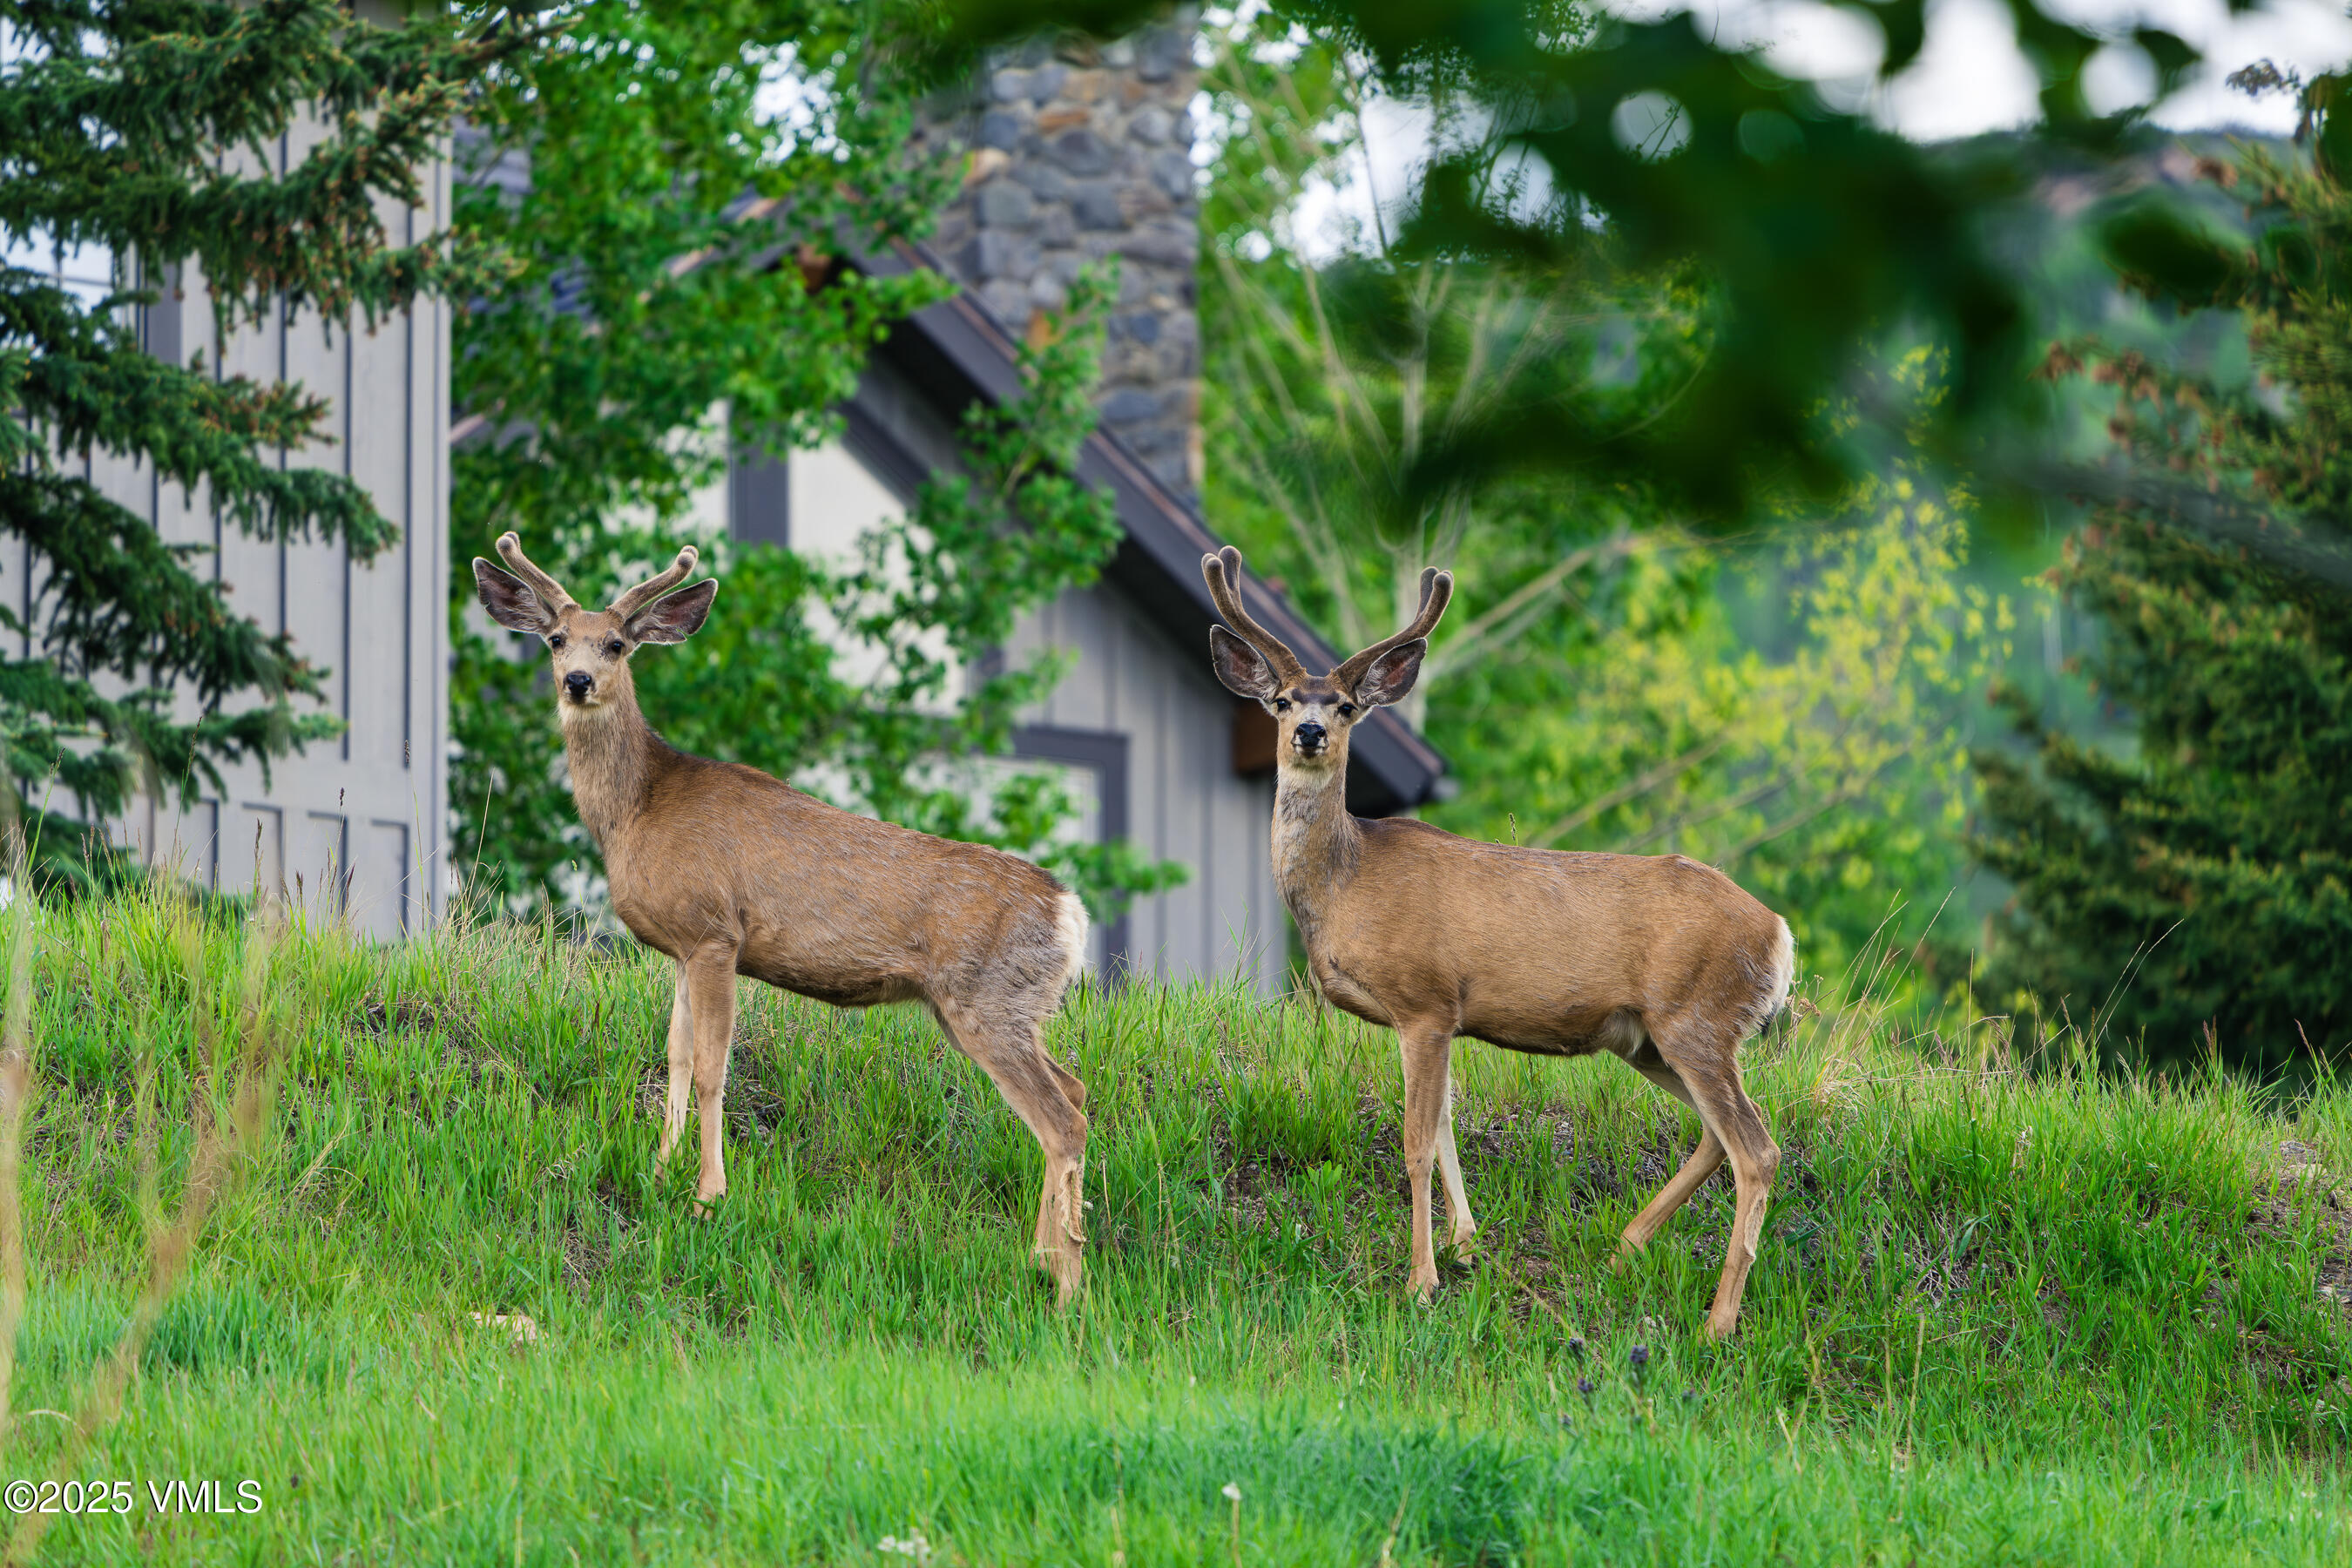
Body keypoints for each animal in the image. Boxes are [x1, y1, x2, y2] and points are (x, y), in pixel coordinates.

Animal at [472, 533, 1095, 1301]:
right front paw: (659, 1170)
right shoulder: (682, 947)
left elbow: (715, 1066)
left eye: (616, 643)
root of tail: (1070, 912)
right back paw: (1042, 1257)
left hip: (988, 998)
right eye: (557, 639)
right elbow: (677, 1057)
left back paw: (1067, 1285)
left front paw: (708, 1195)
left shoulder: (717, 931)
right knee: (1074, 1092)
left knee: (1062, 1120)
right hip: (1002, 1006)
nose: (579, 681)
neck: (636, 809)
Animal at [1200, 547, 1796, 1339]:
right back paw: (1625, 1248)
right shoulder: (1444, 1018)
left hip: (1697, 1016)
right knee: (1713, 1136)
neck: (1345, 884)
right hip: (1649, 1037)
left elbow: (1415, 1140)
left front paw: (1419, 1280)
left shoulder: (1423, 1000)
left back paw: (1719, 1320)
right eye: (1283, 700)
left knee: (1757, 1149)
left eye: (1347, 706)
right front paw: (1465, 1242)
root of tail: (1780, 934)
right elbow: (1446, 1126)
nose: (1310, 734)